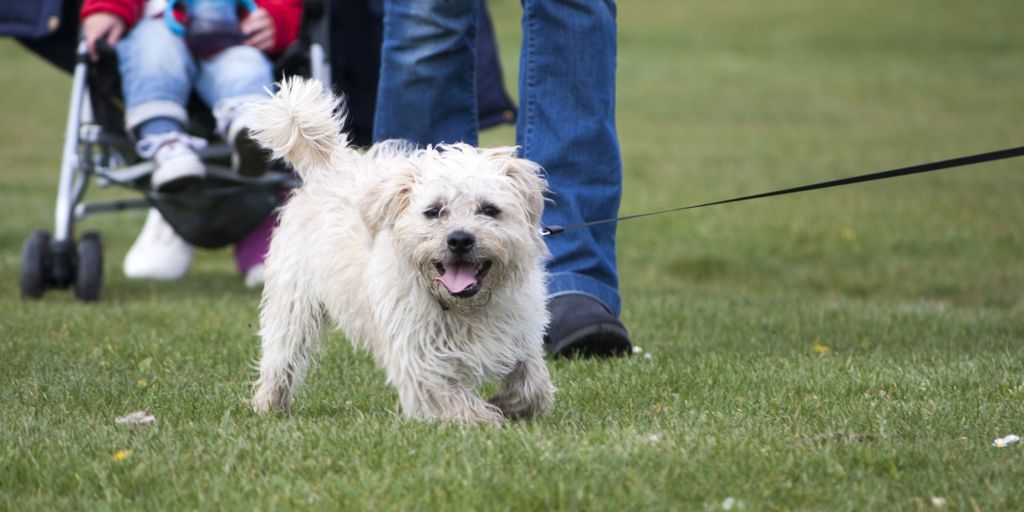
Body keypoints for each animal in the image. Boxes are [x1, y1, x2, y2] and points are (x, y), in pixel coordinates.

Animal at [245, 78, 552, 423]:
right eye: (434, 211)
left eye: (489, 210)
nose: (460, 239)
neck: (464, 308)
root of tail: (330, 166)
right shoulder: (419, 360)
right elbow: (456, 401)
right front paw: (489, 419)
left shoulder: (520, 331)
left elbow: (533, 381)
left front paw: (511, 403)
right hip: (292, 304)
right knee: (281, 357)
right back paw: (269, 403)